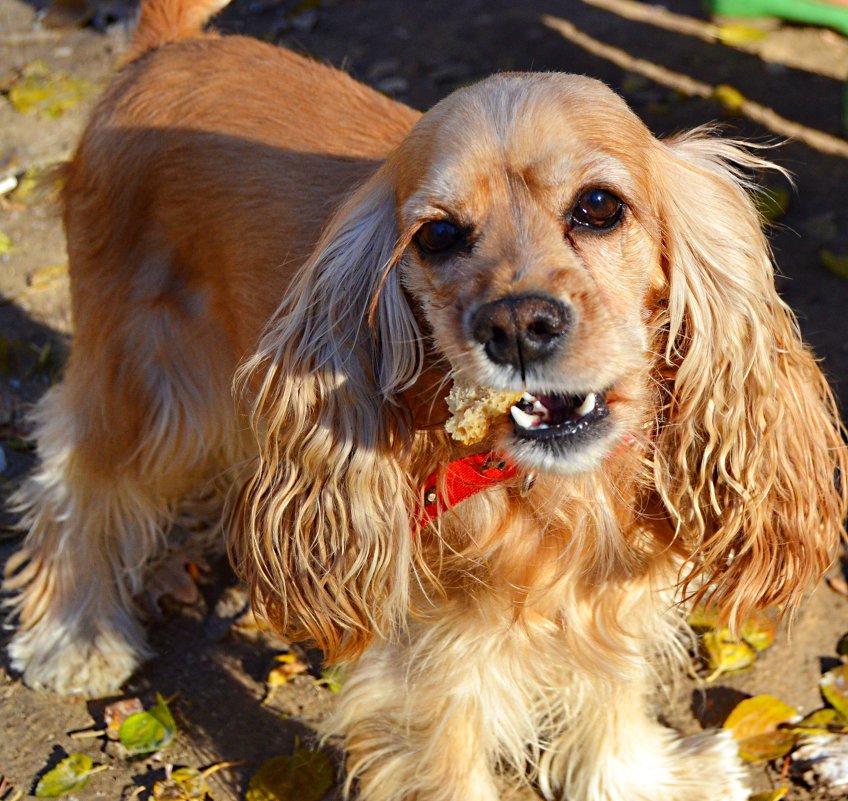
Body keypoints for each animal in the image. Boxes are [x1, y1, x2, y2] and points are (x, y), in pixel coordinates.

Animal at [4, 0, 840, 796]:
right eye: (436, 236)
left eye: (599, 206)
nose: (516, 324)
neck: (559, 494)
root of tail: (163, 48)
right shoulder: (431, 655)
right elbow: (447, 756)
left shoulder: (611, 596)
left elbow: (612, 693)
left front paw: (647, 779)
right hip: (149, 377)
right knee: (75, 481)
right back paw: (73, 635)